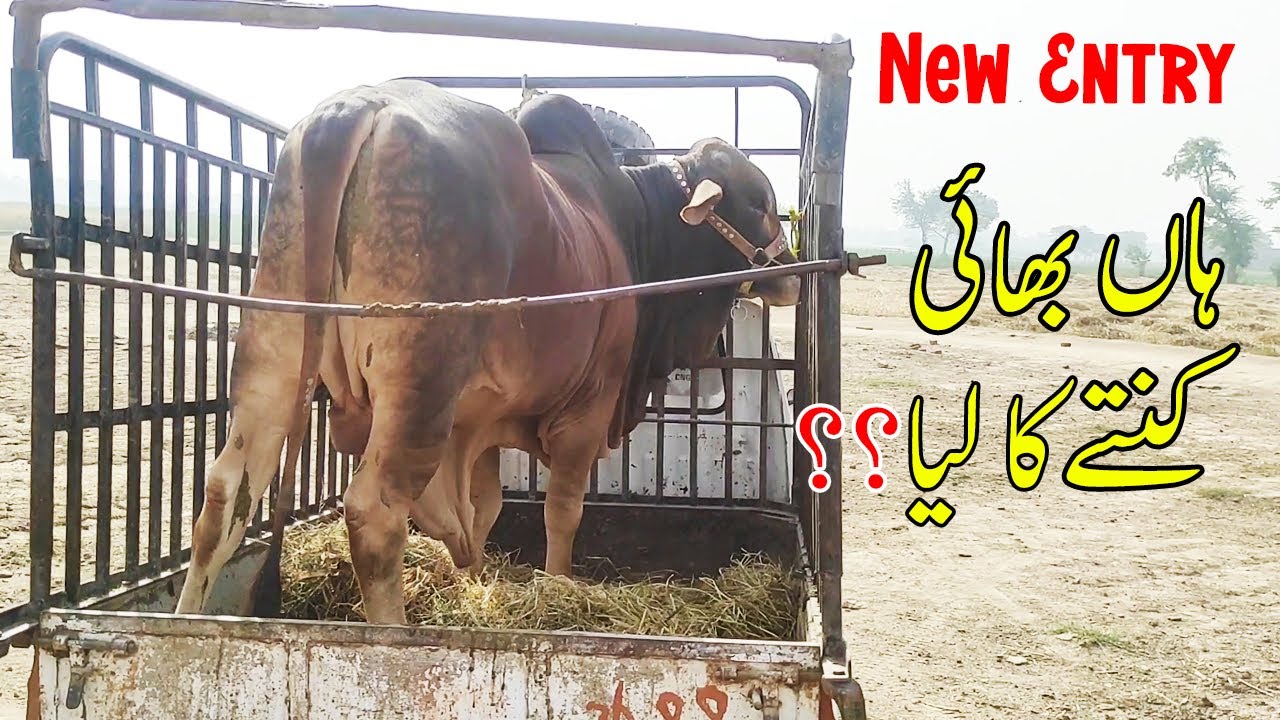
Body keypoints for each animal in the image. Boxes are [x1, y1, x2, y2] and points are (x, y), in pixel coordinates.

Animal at [173, 79, 801, 626]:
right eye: (761, 201)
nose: (791, 274)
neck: (633, 227)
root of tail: (355, 109)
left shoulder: (480, 422)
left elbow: (481, 509)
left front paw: (473, 582)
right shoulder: (588, 407)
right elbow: (562, 510)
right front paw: (558, 586)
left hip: (273, 349)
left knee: (224, 495)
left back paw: (188, 623)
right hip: (419, 387)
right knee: (374, 512)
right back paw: (390, 636)